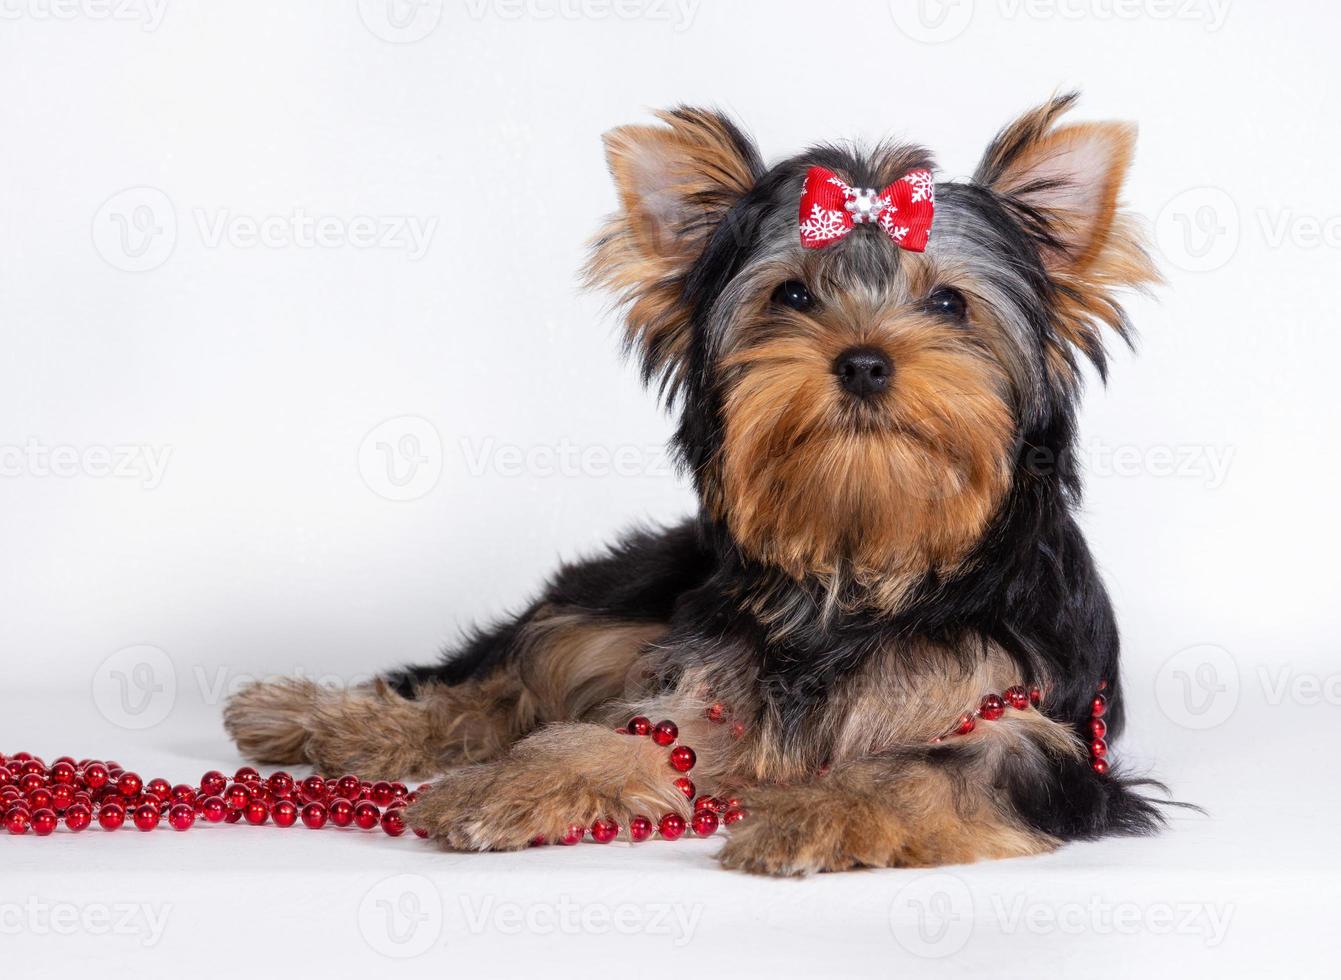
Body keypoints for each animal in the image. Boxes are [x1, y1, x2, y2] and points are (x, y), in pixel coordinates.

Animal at [225, 91, 1169, 874]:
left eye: (947, 304)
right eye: (791, 295)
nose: (864, 361)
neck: (861, 560)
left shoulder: (1035, 729)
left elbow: (940, 771)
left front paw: (813, 814)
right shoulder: (708, 681)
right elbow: (628, 735)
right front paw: (509, 785)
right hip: (639, 600)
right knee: (516, 672)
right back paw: (315, 718)